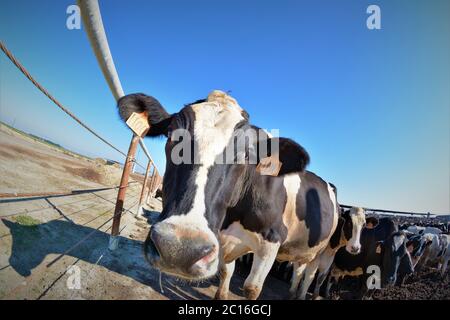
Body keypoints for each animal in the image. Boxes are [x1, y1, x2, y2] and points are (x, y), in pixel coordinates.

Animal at [117, 90, 344, 300]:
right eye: (172, 136)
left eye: (247, 154)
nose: (180, 250)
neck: (229, 220)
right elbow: (227, 271)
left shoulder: (272, 238)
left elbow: (252, 288)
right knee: (299, 270)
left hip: (324, 252)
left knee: (310, 274)